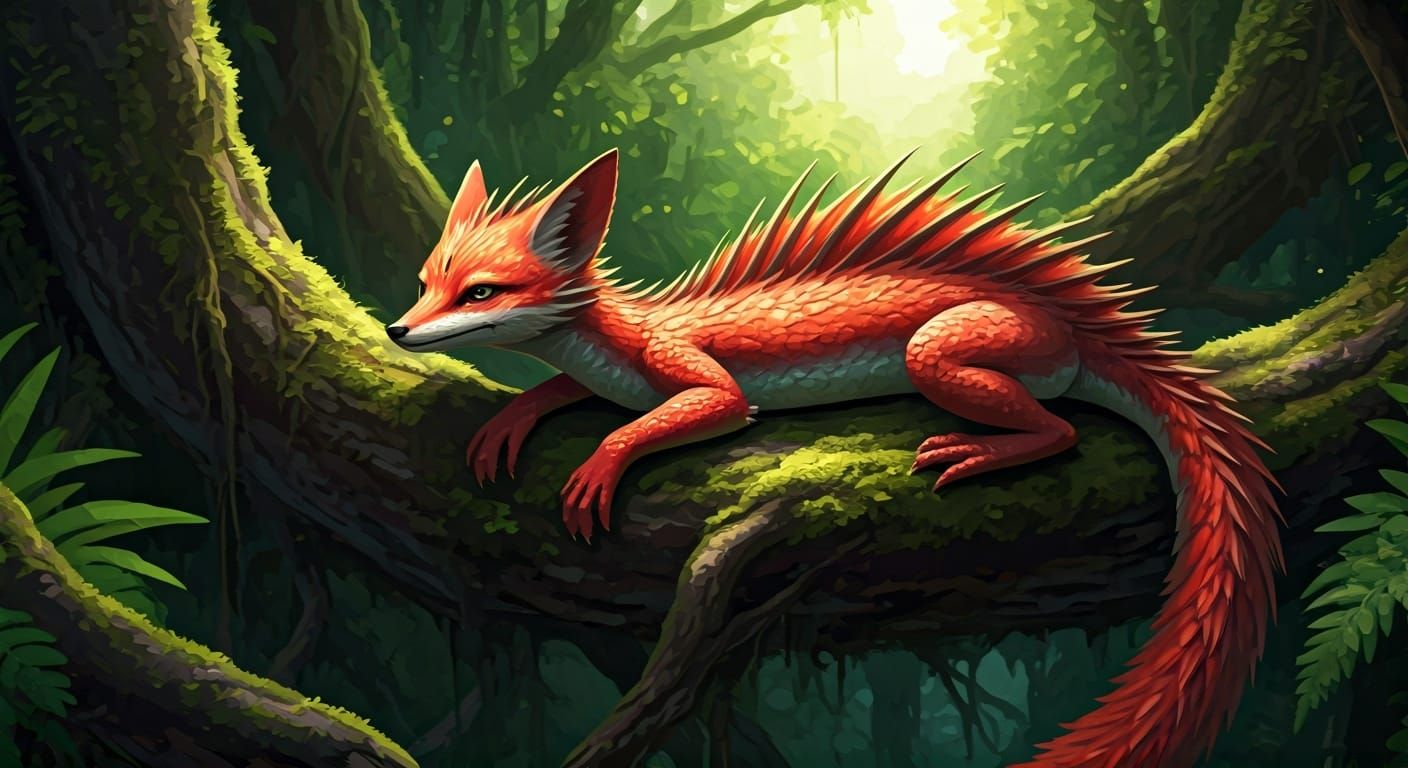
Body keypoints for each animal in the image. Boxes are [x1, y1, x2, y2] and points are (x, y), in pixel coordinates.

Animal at [388, 148, 1282, 768]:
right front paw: (513, 419)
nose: (395, 328)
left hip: (942, 349)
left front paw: (596, 471)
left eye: (482, 291)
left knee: (1058, 432)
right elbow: (563, 394)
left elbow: (681, 413)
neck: (620, 338)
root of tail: (1084, 331)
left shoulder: (700, 378)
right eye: (427, 279)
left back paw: (975, 449)